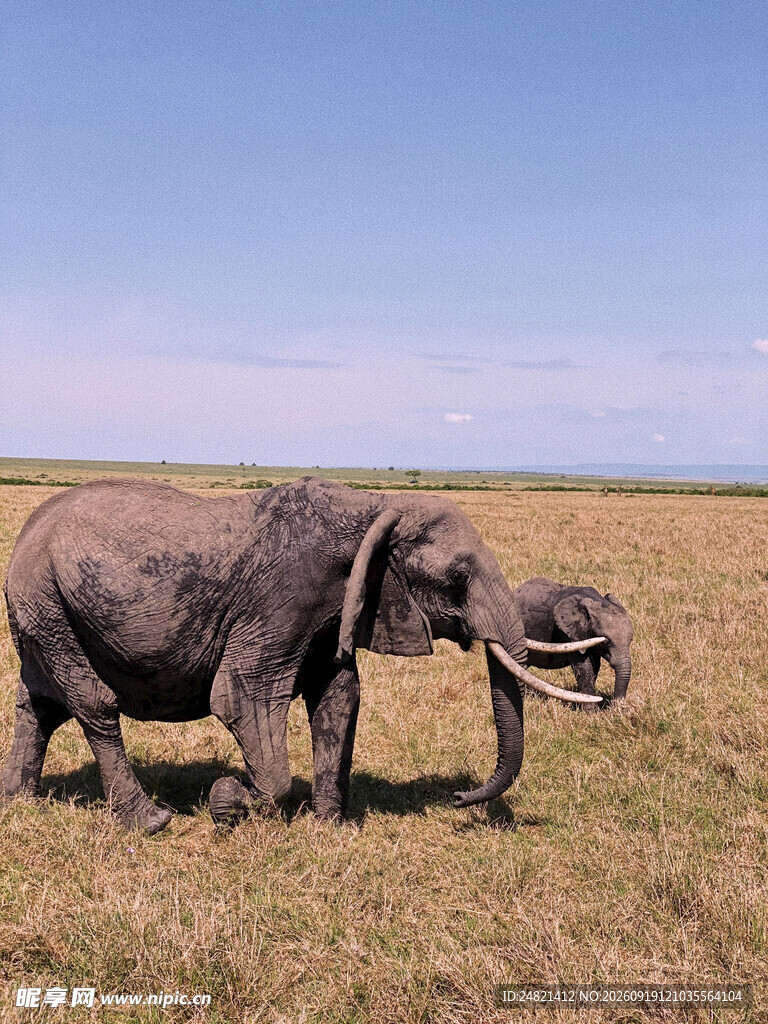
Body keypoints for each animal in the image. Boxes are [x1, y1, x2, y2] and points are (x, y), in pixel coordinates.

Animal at [2, 477, 601, 833]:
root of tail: (26, 533)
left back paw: (19, 802)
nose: (457, 797)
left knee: (39, 706)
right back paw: (151, 822)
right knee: (94, 704)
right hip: (47, 600)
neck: (374, 506)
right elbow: (243, 698)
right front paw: (228, 801)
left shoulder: (336, 608)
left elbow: (340, 698)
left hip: (42, 611)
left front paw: (330, 826)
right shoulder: (281, 600)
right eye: (456, 576)